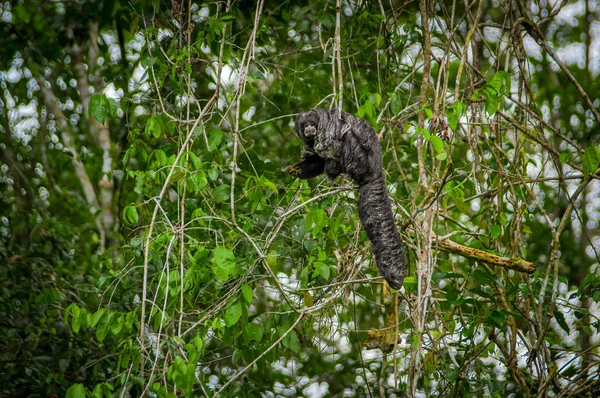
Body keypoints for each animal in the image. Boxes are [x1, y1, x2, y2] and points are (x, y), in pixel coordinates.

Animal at [284, 109, 406, 290]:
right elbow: (316, 161)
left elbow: (330, 145)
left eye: (312, 124)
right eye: (304, 125)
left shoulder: (327, 130)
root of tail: (376, 170)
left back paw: (333, 171)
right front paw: (294, 170)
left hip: (360, 158)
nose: (309, 129)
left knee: (347, 137)